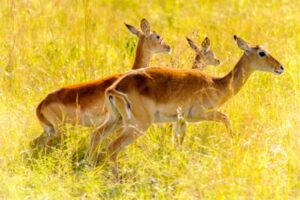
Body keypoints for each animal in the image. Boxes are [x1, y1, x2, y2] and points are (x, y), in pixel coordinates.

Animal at [88, 34, 284, 178]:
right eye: (262, 52)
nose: (280, 67)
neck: (216, 84)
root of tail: (114, 88)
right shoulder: (201, 115)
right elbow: (226, 119)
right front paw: (233, 144)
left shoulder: (179, 121)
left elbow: (177, 144)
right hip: (138, 125)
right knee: (112, 147)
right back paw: (118, 180)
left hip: (116, 120)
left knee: (96, 135)